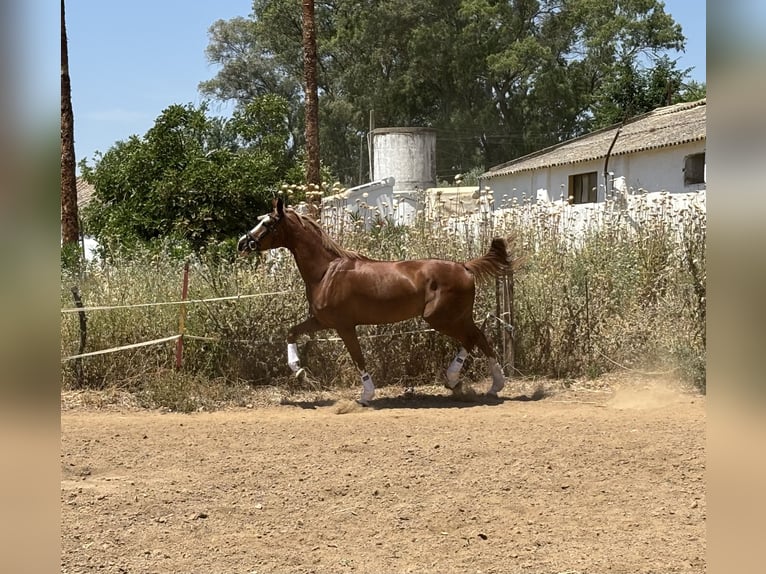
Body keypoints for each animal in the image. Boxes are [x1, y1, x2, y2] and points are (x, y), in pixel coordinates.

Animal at [237, 200, 520, 408]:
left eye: (267, 223)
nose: (242, 243)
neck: (326, 272)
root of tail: (465, 266)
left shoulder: (344, 326)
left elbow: (358, 358)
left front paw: (366, 395)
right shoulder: (322, 321)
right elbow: (291, 332)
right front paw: (299, 371)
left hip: (441, 318)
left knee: (472, 339)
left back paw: (455, 380)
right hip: (457, 317)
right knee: (480, 338)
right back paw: (493, 386)